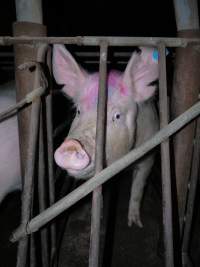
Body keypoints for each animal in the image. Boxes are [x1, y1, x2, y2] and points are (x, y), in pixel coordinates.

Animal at [52, 44, 159, 228]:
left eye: (117, 116)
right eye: (78, 111)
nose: (72, 145)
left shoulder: (149, 156)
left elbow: (138, 187)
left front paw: (134, 224)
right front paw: (98, 216)